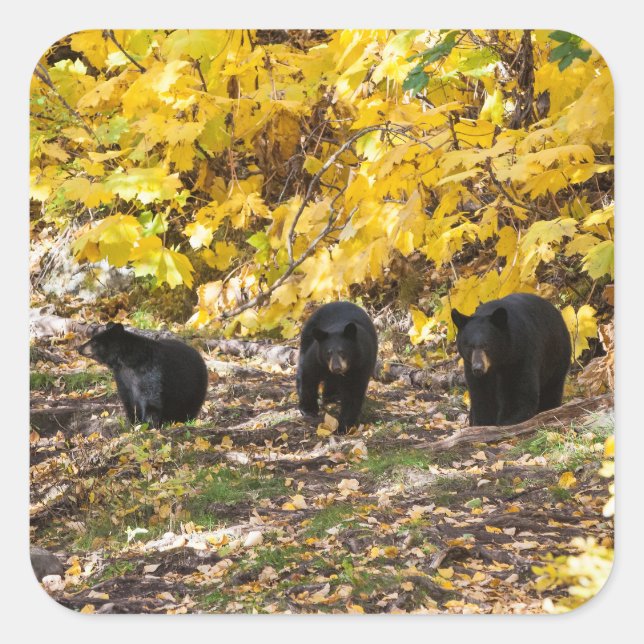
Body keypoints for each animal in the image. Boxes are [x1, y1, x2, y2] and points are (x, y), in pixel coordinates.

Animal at [78, 322, 208, 426]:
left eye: (94, 342)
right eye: (92, 338)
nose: (79, 348)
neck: (126, 362)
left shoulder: (151, 371)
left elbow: (151, 398)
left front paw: (148, 425)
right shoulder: (122, 377)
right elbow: (128, 400)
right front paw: (133, 423)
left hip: (194, 386)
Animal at [297, 302, 378, 433]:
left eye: (342, 352)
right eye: (328, 353)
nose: (336, 368)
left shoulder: (361, 365)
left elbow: (353, 393)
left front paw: (343, 426)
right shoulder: (317, 358)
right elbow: (309, 375)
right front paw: (308, 409)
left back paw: (332, 397)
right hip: (307, 337)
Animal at [451, 293, 571, 426]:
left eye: (486, 345)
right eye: (469, 346)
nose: (478, 368)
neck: (498, 362)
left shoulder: (520, 355)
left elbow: (519, 391)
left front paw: (508, 421)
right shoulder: (470, 366)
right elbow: (482, 394)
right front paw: (483, 422)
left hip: (556, 356)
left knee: (552, 388)